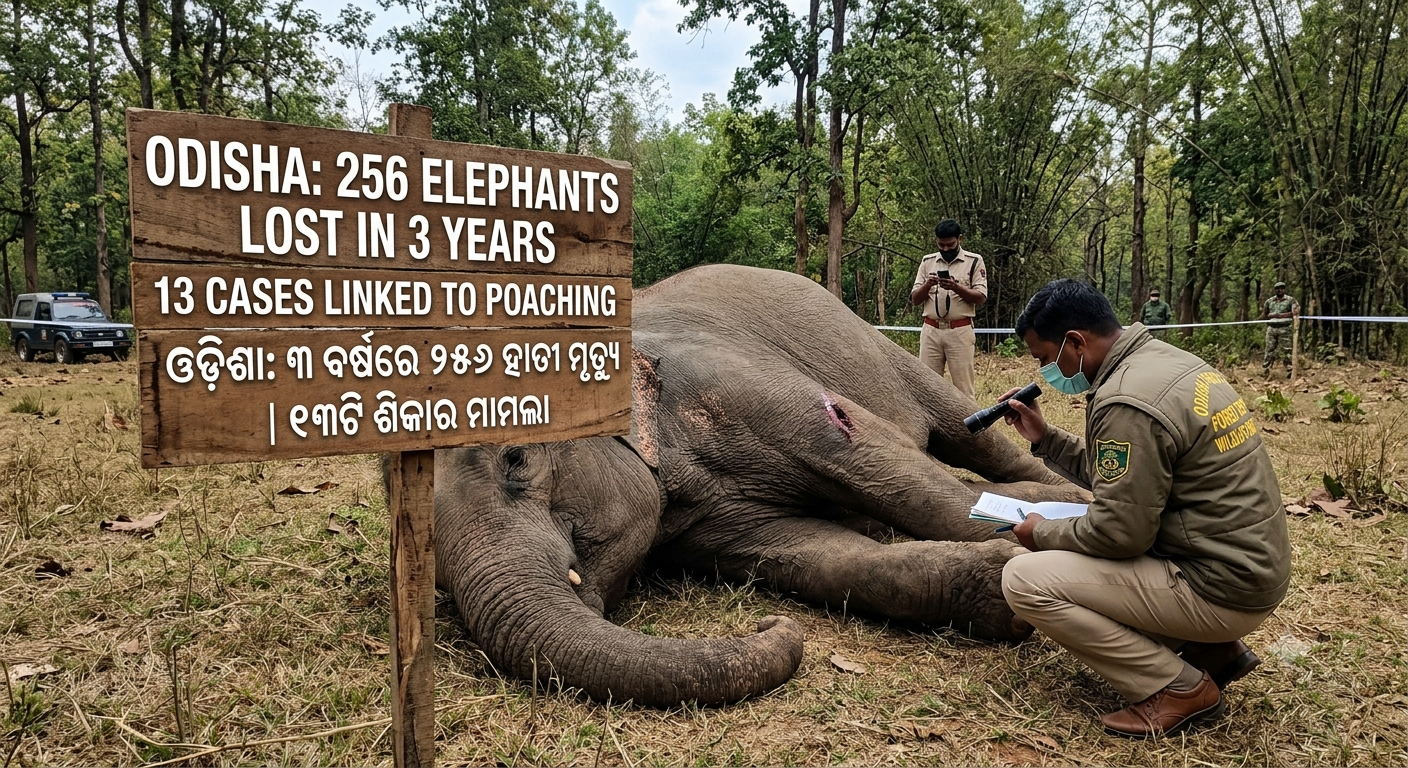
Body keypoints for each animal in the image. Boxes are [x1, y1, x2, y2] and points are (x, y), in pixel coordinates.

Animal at [432, 264, 1086, 708]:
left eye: (516, 457)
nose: (771, 625)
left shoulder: (734, 381)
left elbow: (867, 450)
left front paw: (1044, 537)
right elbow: (810, 555)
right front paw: (996, 588)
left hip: (885, 348)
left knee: (968, 431)